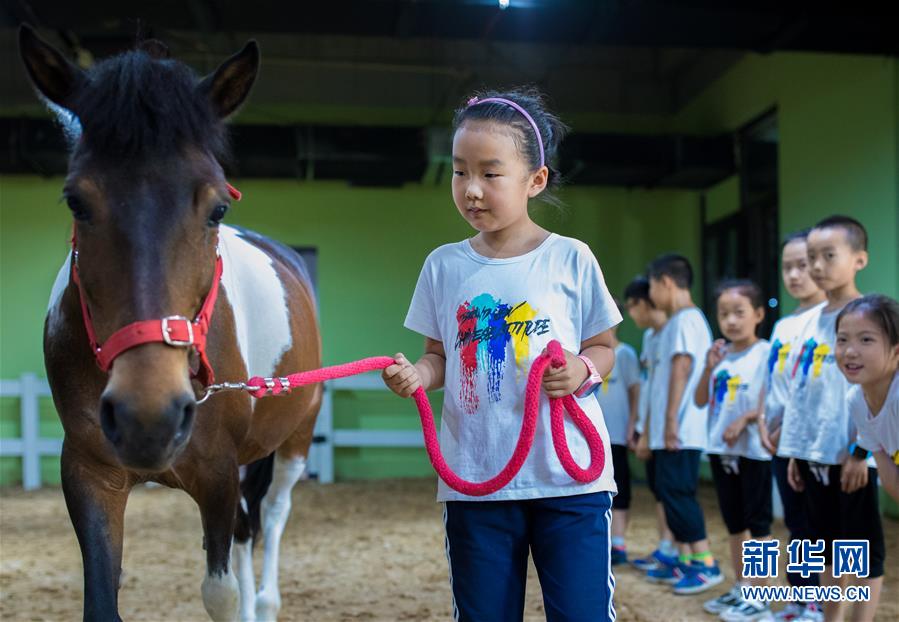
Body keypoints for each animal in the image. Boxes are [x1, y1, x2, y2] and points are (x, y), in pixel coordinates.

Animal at [17, 25, 322, 622]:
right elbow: (101, 599)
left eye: (218, 209)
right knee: (250, 531)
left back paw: (266, 600)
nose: (148, 418)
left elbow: (220, 593)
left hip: (294, 442)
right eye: (75, 201)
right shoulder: (90, 474)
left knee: (272, 518)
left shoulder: (219, 475)